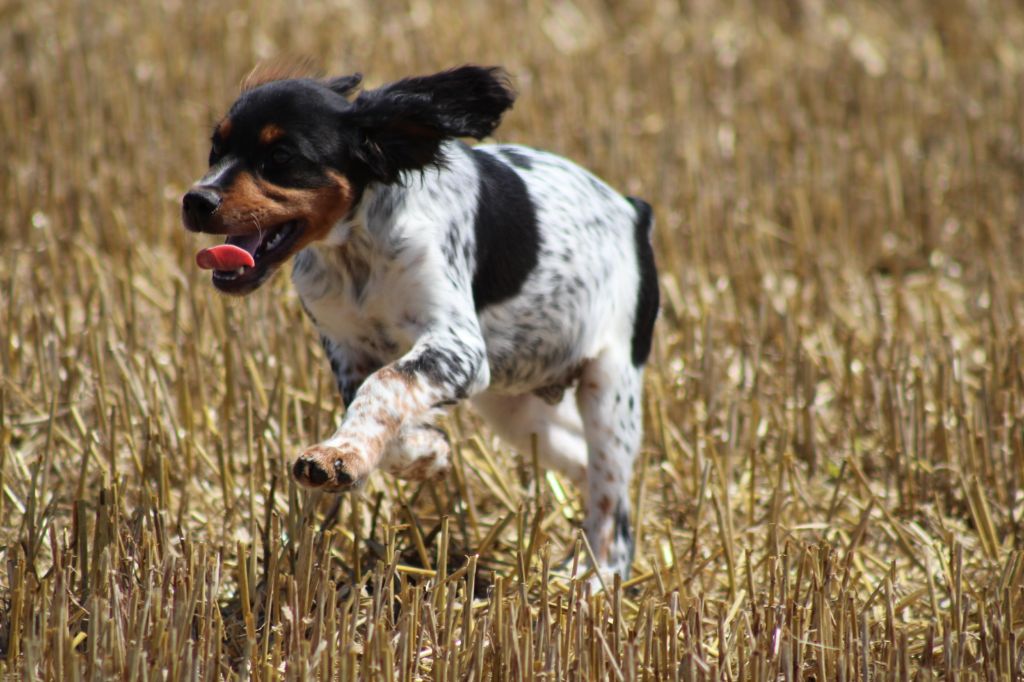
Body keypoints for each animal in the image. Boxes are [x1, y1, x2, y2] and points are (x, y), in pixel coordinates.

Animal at [183, 63, 659, 577]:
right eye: (216, 148)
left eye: (281, 155)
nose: (195, 201)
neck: (356, 250)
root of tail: (634, 209)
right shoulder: (349, 352)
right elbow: (380, 410)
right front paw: (425, 453)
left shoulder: (458, 348)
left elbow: (385, 386)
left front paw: (338, 456)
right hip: (518, 412)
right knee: (583, 466)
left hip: (610, 392)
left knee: (613, 508)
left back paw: (595, 580)